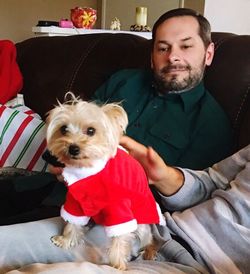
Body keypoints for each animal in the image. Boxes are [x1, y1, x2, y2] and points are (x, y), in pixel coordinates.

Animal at [45, 93, 166, 268]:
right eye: (63, 129)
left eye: (91, 130)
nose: (73, 148)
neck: (89, 172)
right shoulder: (75, 201)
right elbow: (73, 222)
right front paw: (66, 240)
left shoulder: (120, 209)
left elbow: (120, 239)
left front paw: (118, 265)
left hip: (142, 225)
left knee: (149, 238)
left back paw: (149, 250)